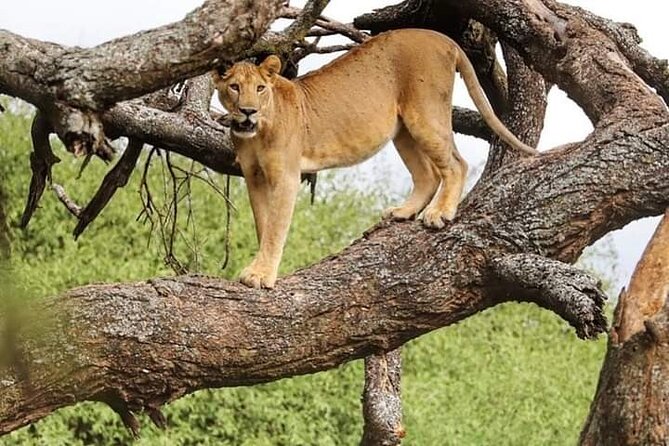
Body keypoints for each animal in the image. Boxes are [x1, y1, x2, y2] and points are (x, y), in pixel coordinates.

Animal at [213, 28, 538, 289]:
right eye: (234, 87)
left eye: (259, 88)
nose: (248, 111)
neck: (256, 133)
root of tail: (442, 38)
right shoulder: (255, 177)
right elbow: (264, 223)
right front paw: (263, 268)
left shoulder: (287, 176)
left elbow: (275, 228)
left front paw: (261, 275)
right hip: (403, 129)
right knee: (428, 174)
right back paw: (403, 212)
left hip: (426, 113)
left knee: (456, 164)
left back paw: (439, 213)